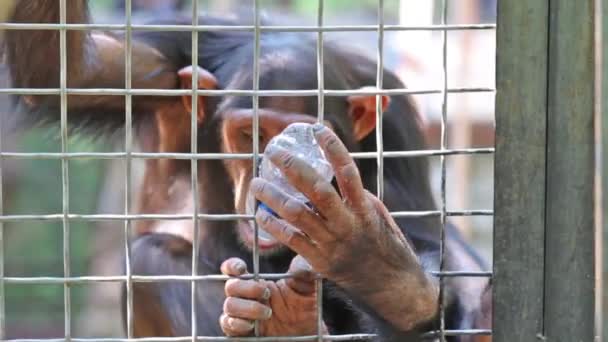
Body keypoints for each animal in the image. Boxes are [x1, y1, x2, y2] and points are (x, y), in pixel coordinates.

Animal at [3, 1, 490, 340]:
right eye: (249, 134)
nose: (270, 171)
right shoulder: (167, 57)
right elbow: (67, 71)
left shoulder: (398, 125)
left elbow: (432, 241)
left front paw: (371, 262)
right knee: (151, 259)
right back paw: (283, 326)